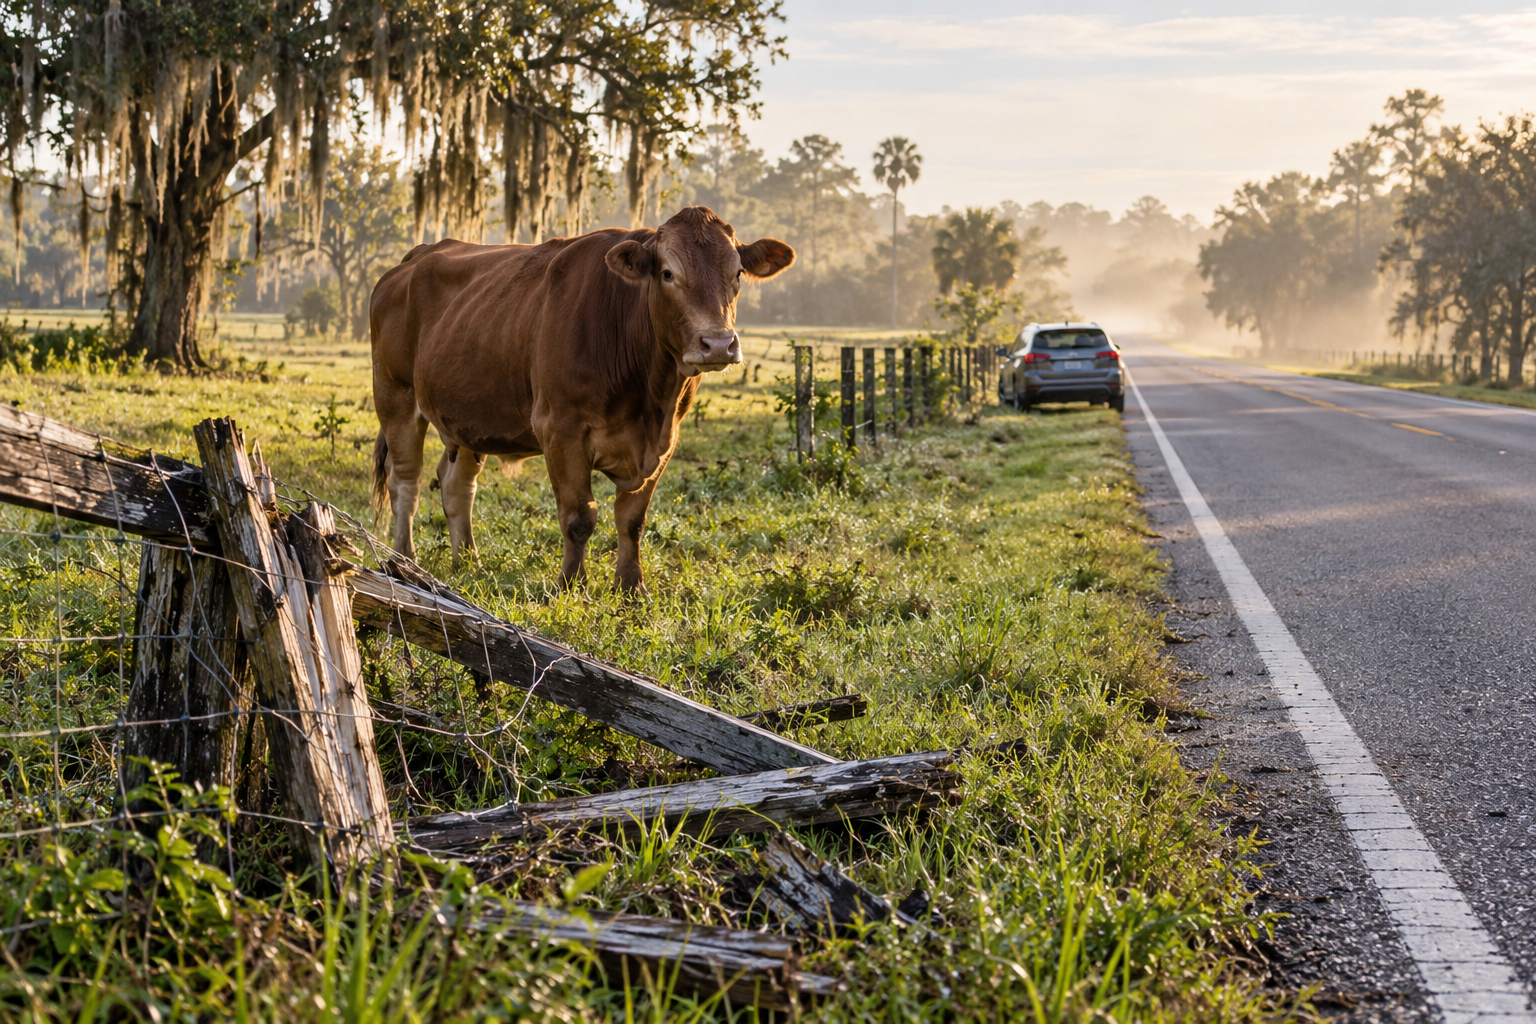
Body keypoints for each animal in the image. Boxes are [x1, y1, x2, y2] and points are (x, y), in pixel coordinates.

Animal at [368, 206, 795, 591]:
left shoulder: (665, 441)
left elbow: (631, 519)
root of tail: (416, 256)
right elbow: (579, 517)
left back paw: (469, 562)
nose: (718, 344)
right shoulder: (561, 431)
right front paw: (571, 585)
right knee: (406, 482)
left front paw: (631, 588)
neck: (649, 398)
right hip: (396, 398)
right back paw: (404, 560)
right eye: (668, 273)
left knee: (457, 484)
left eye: (737, 273)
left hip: (468, 416)